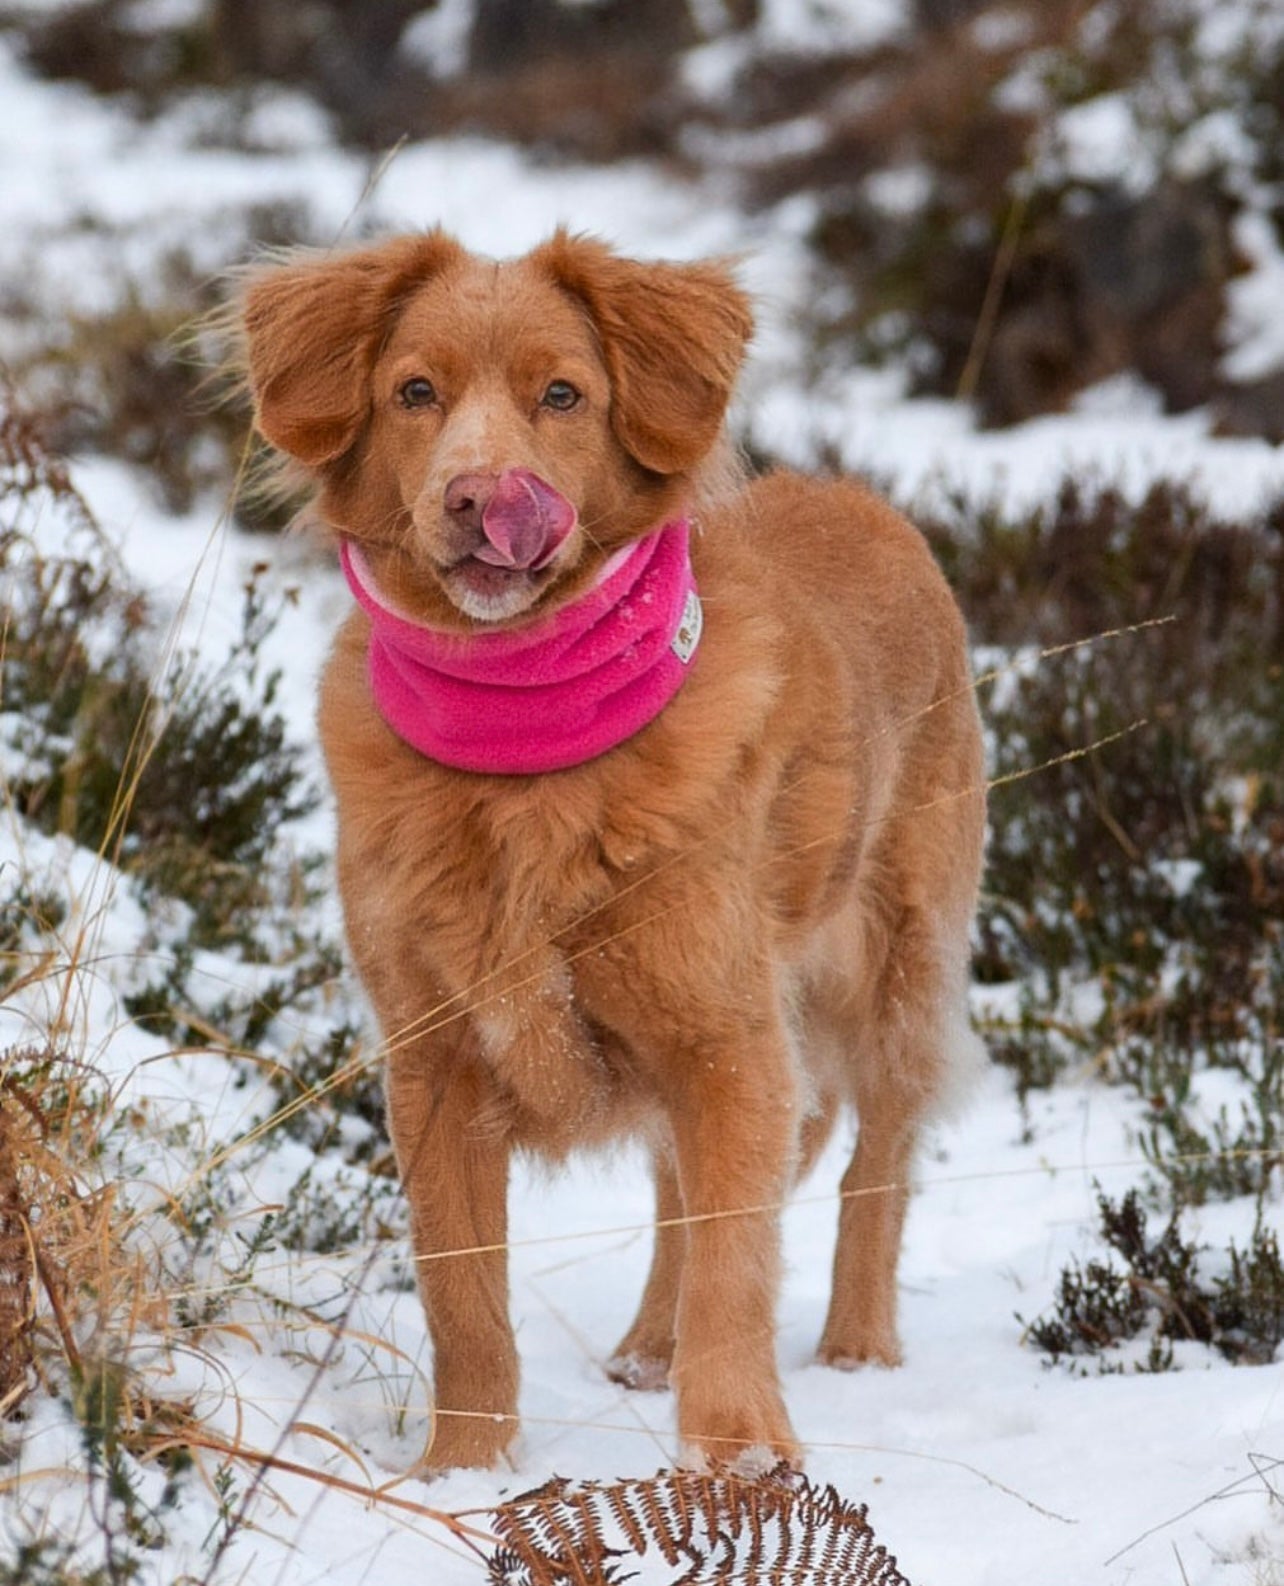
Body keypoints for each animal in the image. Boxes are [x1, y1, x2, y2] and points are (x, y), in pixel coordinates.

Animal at [234, 231, 982, 1471]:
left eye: (563, 395)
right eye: (414, 392)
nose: (482, 496)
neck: (524, 759)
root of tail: (862, 501)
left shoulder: (726, 1034)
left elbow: (735, 1267)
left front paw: (740, 1457)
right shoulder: (434, 1062)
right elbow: (462, 1293)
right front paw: (463, 1468)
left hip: (898, 967)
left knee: (874, 1162)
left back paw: (857, 1344)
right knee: (688, 1185)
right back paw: (644, 1348)